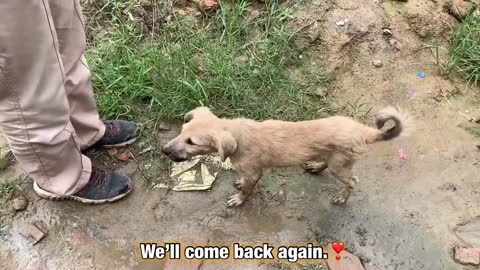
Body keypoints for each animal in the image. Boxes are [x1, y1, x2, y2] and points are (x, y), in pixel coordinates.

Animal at [161, 106, 412, 208]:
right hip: (332, 158)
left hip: (340, 165)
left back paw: (342, 197)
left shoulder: (254, 172)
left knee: (353, 181)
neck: (239, 135)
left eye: (192, 142)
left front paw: (239, 199)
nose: (164, 150)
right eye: (182, 132)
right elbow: (243, 181)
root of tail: (364, 131)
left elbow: (247, 189)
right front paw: (238, 183)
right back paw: (315, 166)